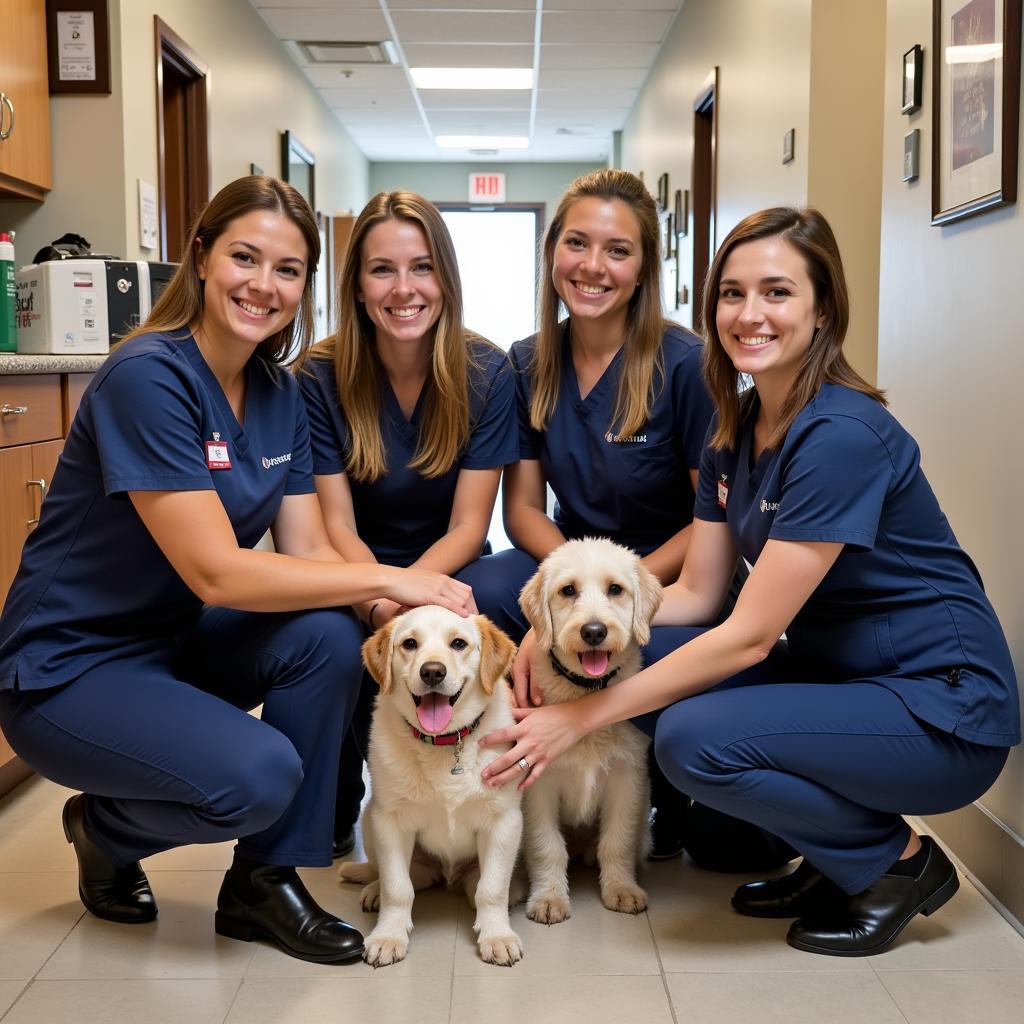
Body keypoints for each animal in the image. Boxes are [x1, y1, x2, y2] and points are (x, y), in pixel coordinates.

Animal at [339, 606, 524, 966]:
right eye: (410, 644)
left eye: (458, 643)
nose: (433, 672)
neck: (446, 742)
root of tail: (448, 877)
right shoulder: (390, 822)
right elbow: (398, 888)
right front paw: (388, 936)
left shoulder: (503, 821)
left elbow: (492, 889)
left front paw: (497, 935)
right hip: (371, 820)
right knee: (392, 875)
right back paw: (373, 890)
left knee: (480, 886)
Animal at [520, 540, 663, 925]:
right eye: (568, 590)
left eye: (615, 589)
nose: (594, 631)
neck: (586, 698)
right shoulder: (538, 784)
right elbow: (546, 845)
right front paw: (549, 897)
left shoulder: (628, 777)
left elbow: (617, 841)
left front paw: (621, 888)